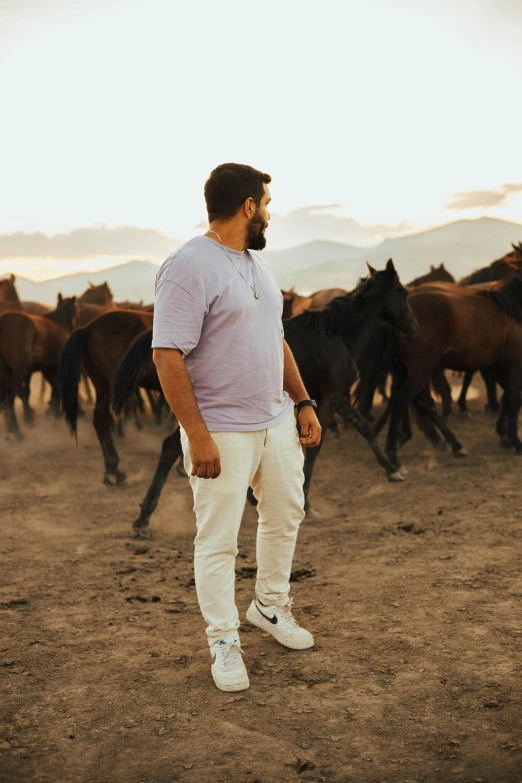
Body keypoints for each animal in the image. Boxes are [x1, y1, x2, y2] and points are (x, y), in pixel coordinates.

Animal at [0, 296, 78, 438]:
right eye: (77, 309)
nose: (73, 327)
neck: (58, 324)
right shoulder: (55, 370)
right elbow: (58, 390)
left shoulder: (47, 370)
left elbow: (56, 389)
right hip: (20, 370)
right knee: (10, 394)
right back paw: (17, 432)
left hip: (6, 371)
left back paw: (11, 429)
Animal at [59, 308, 152, 484]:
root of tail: (88, 328)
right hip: (115, 385)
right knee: (103, 417)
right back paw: (114, 468)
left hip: (102, 385)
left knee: (100, 418)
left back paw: (111, 470)